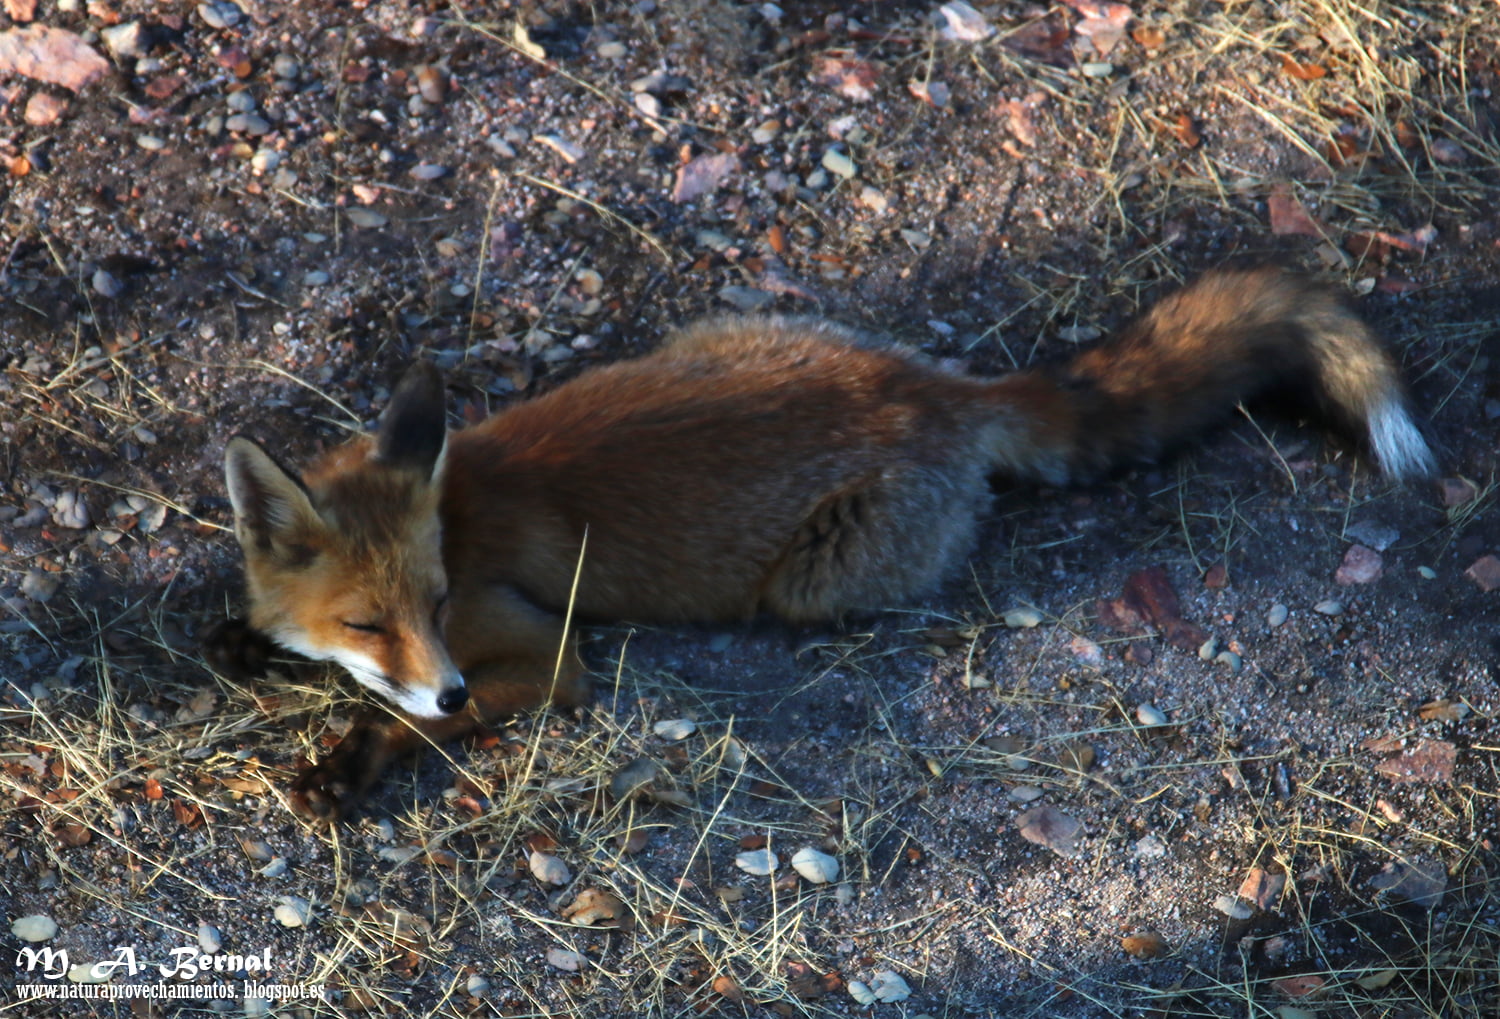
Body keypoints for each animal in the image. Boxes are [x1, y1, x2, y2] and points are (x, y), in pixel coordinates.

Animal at [216, 266, 1433, 819]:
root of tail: (939, 387)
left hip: (812, 580)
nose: (455, 688)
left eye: (434, 602)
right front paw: (246, 643)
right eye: (369, 618)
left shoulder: (543, 655)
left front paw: (351, 762)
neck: (460, 510)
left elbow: (410, 721)